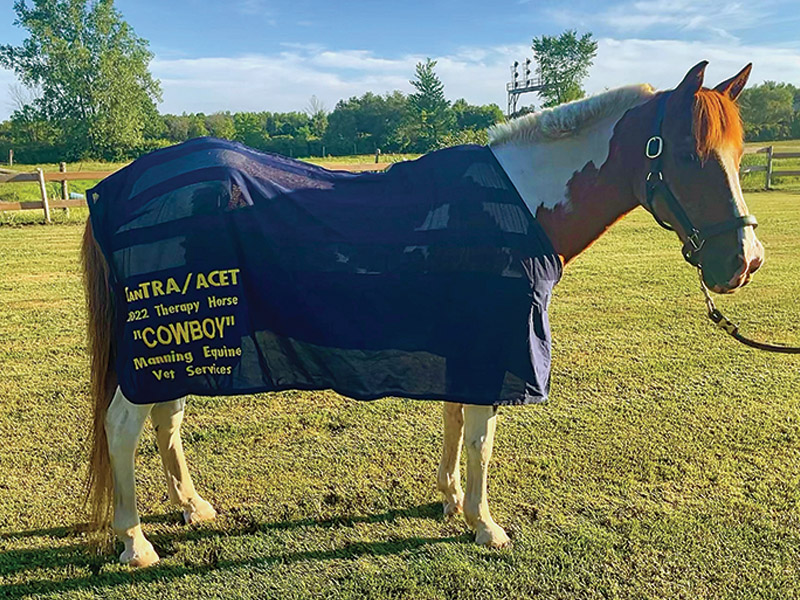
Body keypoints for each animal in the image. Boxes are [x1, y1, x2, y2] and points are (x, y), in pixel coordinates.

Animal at [82, 61, 763, 566]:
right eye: (688, 153)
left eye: (739, 153)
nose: (745, 261)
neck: (517, 205)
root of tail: (116, 186)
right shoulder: (493, 349)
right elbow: (482, 438)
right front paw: (485, 524)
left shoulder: (465, 345)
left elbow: (455, 423)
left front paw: (451, 500)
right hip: (163, 343)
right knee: (123, 426)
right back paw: (135, 542)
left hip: (187, 344)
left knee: (166, 420)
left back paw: (192, 507)